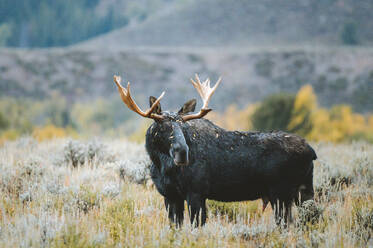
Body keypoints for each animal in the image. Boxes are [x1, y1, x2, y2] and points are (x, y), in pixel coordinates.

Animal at [112, 74, 314, 227]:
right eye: (162, 126)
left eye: (182, 126)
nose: (182, 153)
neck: (161, 165)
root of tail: (311, 151)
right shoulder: (170, 196)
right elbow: (175, 227)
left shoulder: (196, 193)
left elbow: (197, 226)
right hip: (302, 192)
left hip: (281, 193)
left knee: (287, 224)